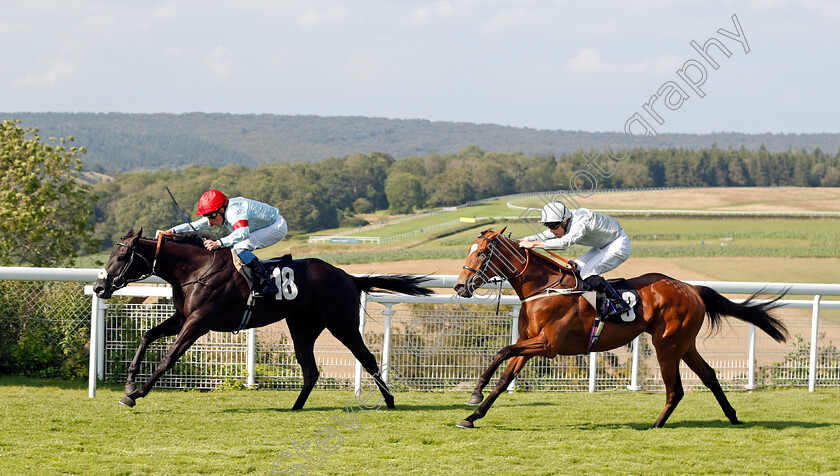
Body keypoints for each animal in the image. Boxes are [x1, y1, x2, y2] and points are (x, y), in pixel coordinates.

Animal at [93, 230, 434, 410]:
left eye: (121, 257)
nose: (99, 287)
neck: (196, 270)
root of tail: (348, 276)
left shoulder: (199, 322)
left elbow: (168, 358)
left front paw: (136, 395)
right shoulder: (183, 317)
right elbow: (148, 335)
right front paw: (129, 382)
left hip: (341, 324)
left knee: (367, 357)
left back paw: (389, 400)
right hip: (302, 328)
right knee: (311, 369)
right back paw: (296, 406)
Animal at [452, 229, 788, 430]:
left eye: (482, 253)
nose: (459, 286)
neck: (545, 289)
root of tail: (690, 288)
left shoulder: (547, 344)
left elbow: (502, 350)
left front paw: (475, 393)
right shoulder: (530, 343)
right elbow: (504, 376)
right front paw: (472, 416)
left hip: (667, 346)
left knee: (676, 389)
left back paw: (656, 425)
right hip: (684, 344)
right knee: (708, 375)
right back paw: (732, 416)